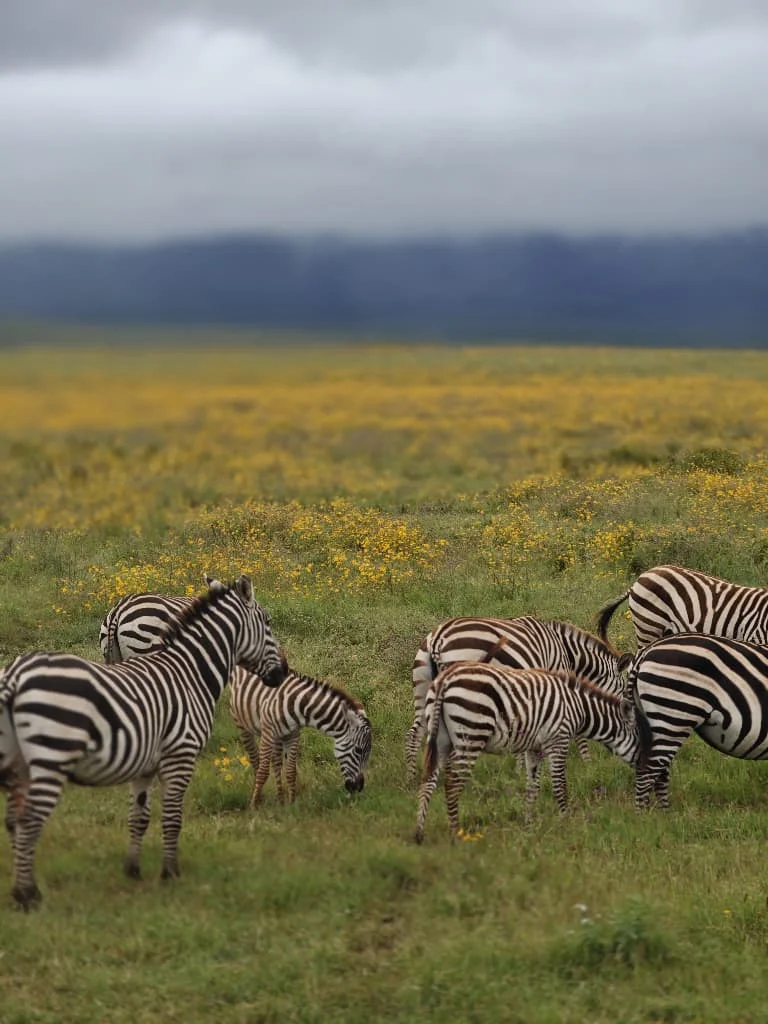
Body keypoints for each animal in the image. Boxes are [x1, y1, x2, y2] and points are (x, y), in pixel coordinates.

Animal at [0, 574, 285, 910]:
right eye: (268, 622)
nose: (283, 673)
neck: (190, 672)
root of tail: (16, 677)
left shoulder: (145, 764)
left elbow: (139, 817)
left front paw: (133, 870)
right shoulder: (180, 755)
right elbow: (173, 818)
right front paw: (170, 874)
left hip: (19, 760)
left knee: (13, 821)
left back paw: (23, 889)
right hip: (51, 756)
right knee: (29, 820)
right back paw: (27, 895)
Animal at [230, 667, 372, 807]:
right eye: (358, 750)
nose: (359, 787)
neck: (298, 705)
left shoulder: (293, 735)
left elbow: (291, 771)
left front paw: (292, 804)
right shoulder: (268, 734)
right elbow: (263, 771)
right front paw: (254, 806)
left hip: (278, 737)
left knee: (276, 763)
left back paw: (280, 799)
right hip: (242, 724)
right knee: (255, 761)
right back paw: (259, 797)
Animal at [407, 616, 633, 780]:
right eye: (623, 688)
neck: (567, 653)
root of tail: (438, 639)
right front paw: (587, 763)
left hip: (424, 689)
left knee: (414, 734)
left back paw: (412, 778)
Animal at [413, 664, 650, 844]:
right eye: (643, 742)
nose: (646, 769)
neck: (579, 708)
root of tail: (445, 679)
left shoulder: (534, 747)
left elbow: (533, 787)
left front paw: (528, 824)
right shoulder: (558, 740)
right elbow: (559, 786)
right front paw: (565, 823)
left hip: (441, 738)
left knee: (429, 780)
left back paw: (419, 833)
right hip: (471, 734)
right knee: (452, 783)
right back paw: (456, 833)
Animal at [628, 632, 768, 809]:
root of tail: (645, 651)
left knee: (659, 772)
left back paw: (664, 814)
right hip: (673, 718)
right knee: (648, 772)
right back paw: (646, 815)